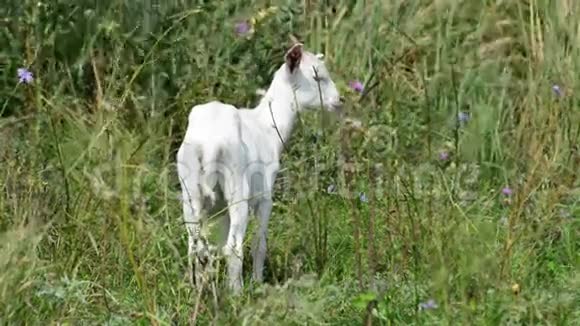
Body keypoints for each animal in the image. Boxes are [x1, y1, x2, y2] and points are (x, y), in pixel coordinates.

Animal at [174, 42, 342, 292]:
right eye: (317, 76)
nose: (338, 100)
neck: (268, 125)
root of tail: (211, 144)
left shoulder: (220, 209)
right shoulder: (265, 197)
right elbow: (259, 242)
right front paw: (257, 280)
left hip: (190, 190)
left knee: (195, 247)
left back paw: (198, 290)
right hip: (237, 187)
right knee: (233, 247)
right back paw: (238, 293)